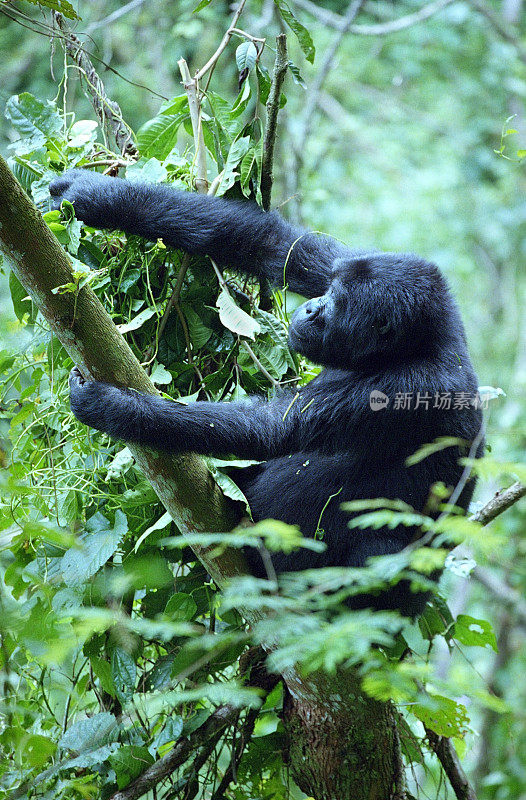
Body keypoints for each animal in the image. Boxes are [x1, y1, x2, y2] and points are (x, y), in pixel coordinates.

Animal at [51, 170, 484, 612]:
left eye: (337, 304)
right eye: (329, 289)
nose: (311, 309)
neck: (415, 343)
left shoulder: (409, 386)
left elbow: (270, 428)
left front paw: (110, 406)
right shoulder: (364, 261)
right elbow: (274, 245)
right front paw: (95, 196)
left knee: (379, 553)